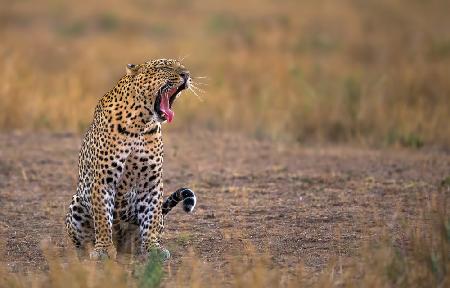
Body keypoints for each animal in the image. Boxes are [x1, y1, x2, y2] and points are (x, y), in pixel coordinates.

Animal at [64, 59, 197, 260]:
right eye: (164, 67)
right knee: (82, 242)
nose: (186, 75)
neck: (140, 124)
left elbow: (151, 217)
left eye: (182, 67)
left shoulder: (151, 182)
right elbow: (102, 218)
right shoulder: (103, 180)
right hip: (76, 204)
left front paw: (153, 247)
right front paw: (103, 249)